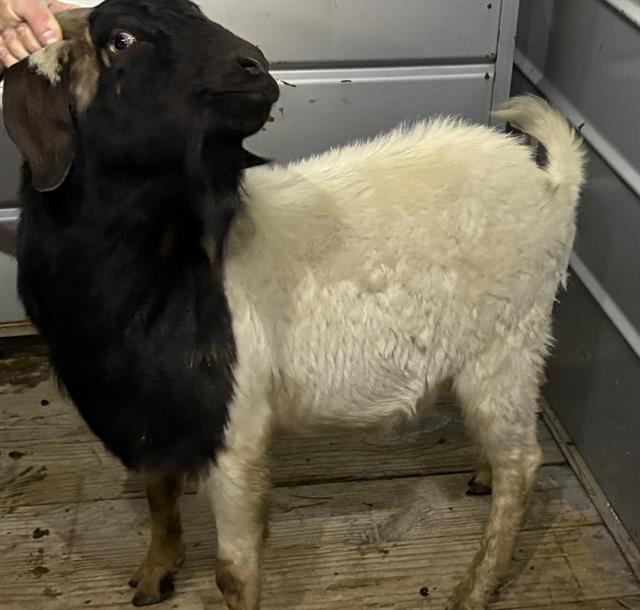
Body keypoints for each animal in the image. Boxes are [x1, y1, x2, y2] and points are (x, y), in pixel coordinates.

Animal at [1, 1, 585, 608]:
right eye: (121, 40)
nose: (255, 66)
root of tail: (553, 183)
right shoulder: (153, 417)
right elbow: (159, 496)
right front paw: (155, 572)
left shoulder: (236, 432)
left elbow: (233, 573)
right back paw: (483, 478)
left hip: (505, 342)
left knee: (524, 461)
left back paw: (475, 586)